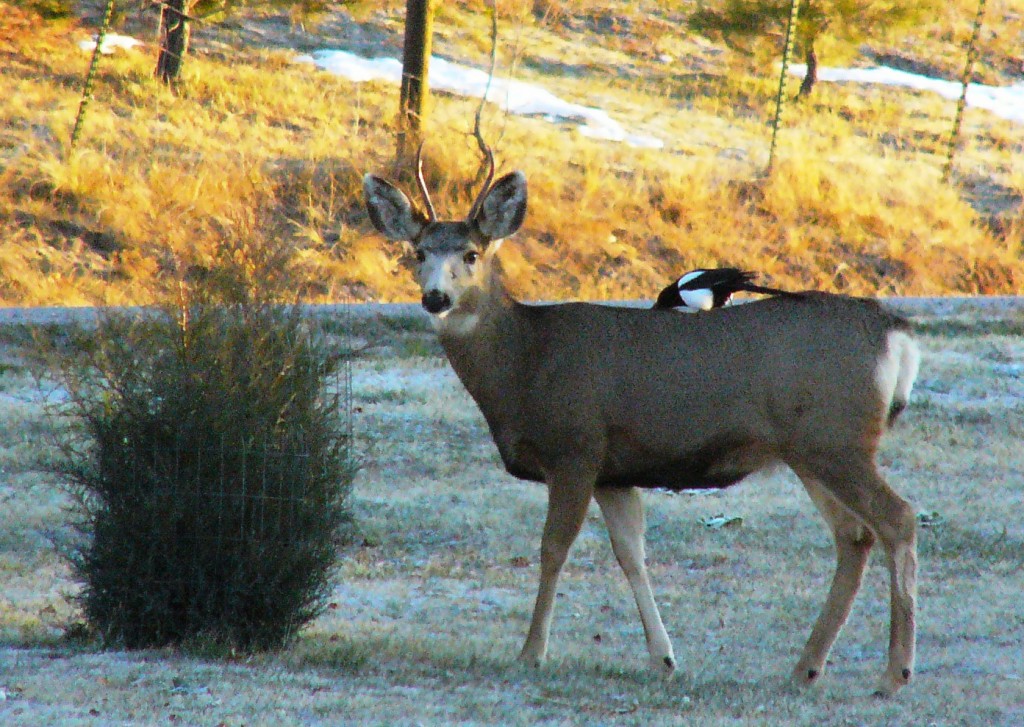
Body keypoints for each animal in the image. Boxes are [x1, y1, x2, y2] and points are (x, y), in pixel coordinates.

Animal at [364, 150, 925, 696]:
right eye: (418, 253)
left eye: (471, 255)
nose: (435, 297)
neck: (525, 363)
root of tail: (894, 330)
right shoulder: (614, 471)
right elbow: (631, 553)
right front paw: (663, 658)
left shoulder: (576, 448)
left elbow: (553, 548)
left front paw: (531, 653)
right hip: (811, 449)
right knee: (855, 536)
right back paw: (805, 669)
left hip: (837, 440)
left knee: (897, 518)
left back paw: (893, 674)